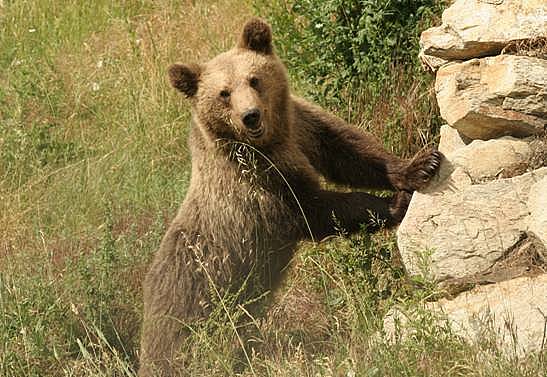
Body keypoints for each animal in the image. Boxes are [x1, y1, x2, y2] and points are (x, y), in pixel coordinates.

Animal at [139, 17, 444, 376]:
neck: (268, 143)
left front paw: (418, 166)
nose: (251, 116)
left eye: (254, 79)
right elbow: (313, 208)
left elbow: (347, 150)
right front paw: (394, 203)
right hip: (198, 303)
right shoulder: (260, 182)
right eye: (224, 93)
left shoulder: (299, 126)